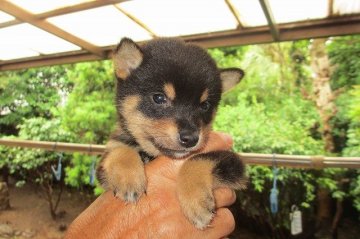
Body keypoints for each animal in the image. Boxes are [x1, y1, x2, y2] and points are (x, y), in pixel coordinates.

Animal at [97, 37, 246, 230]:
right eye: (159, 98)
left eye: (205, 105)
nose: (191, 138)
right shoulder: (107, 160)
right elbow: (119, 150)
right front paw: (128, 178)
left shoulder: (234, 162)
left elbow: (198, 159)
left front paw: (196, 202)